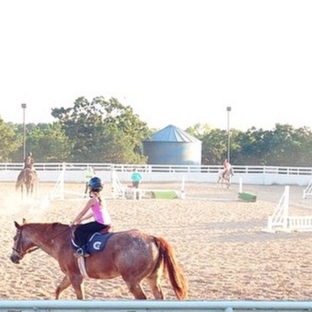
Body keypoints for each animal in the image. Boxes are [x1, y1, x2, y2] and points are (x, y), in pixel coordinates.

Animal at [9, 219, 189, 300]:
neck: (61, 240)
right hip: (152, 278)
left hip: (132, 281)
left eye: (14, 238)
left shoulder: (75, 277)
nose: (12, 257)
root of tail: (152, 238)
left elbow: (80, 297)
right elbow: (58, 290)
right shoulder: (69, 276)